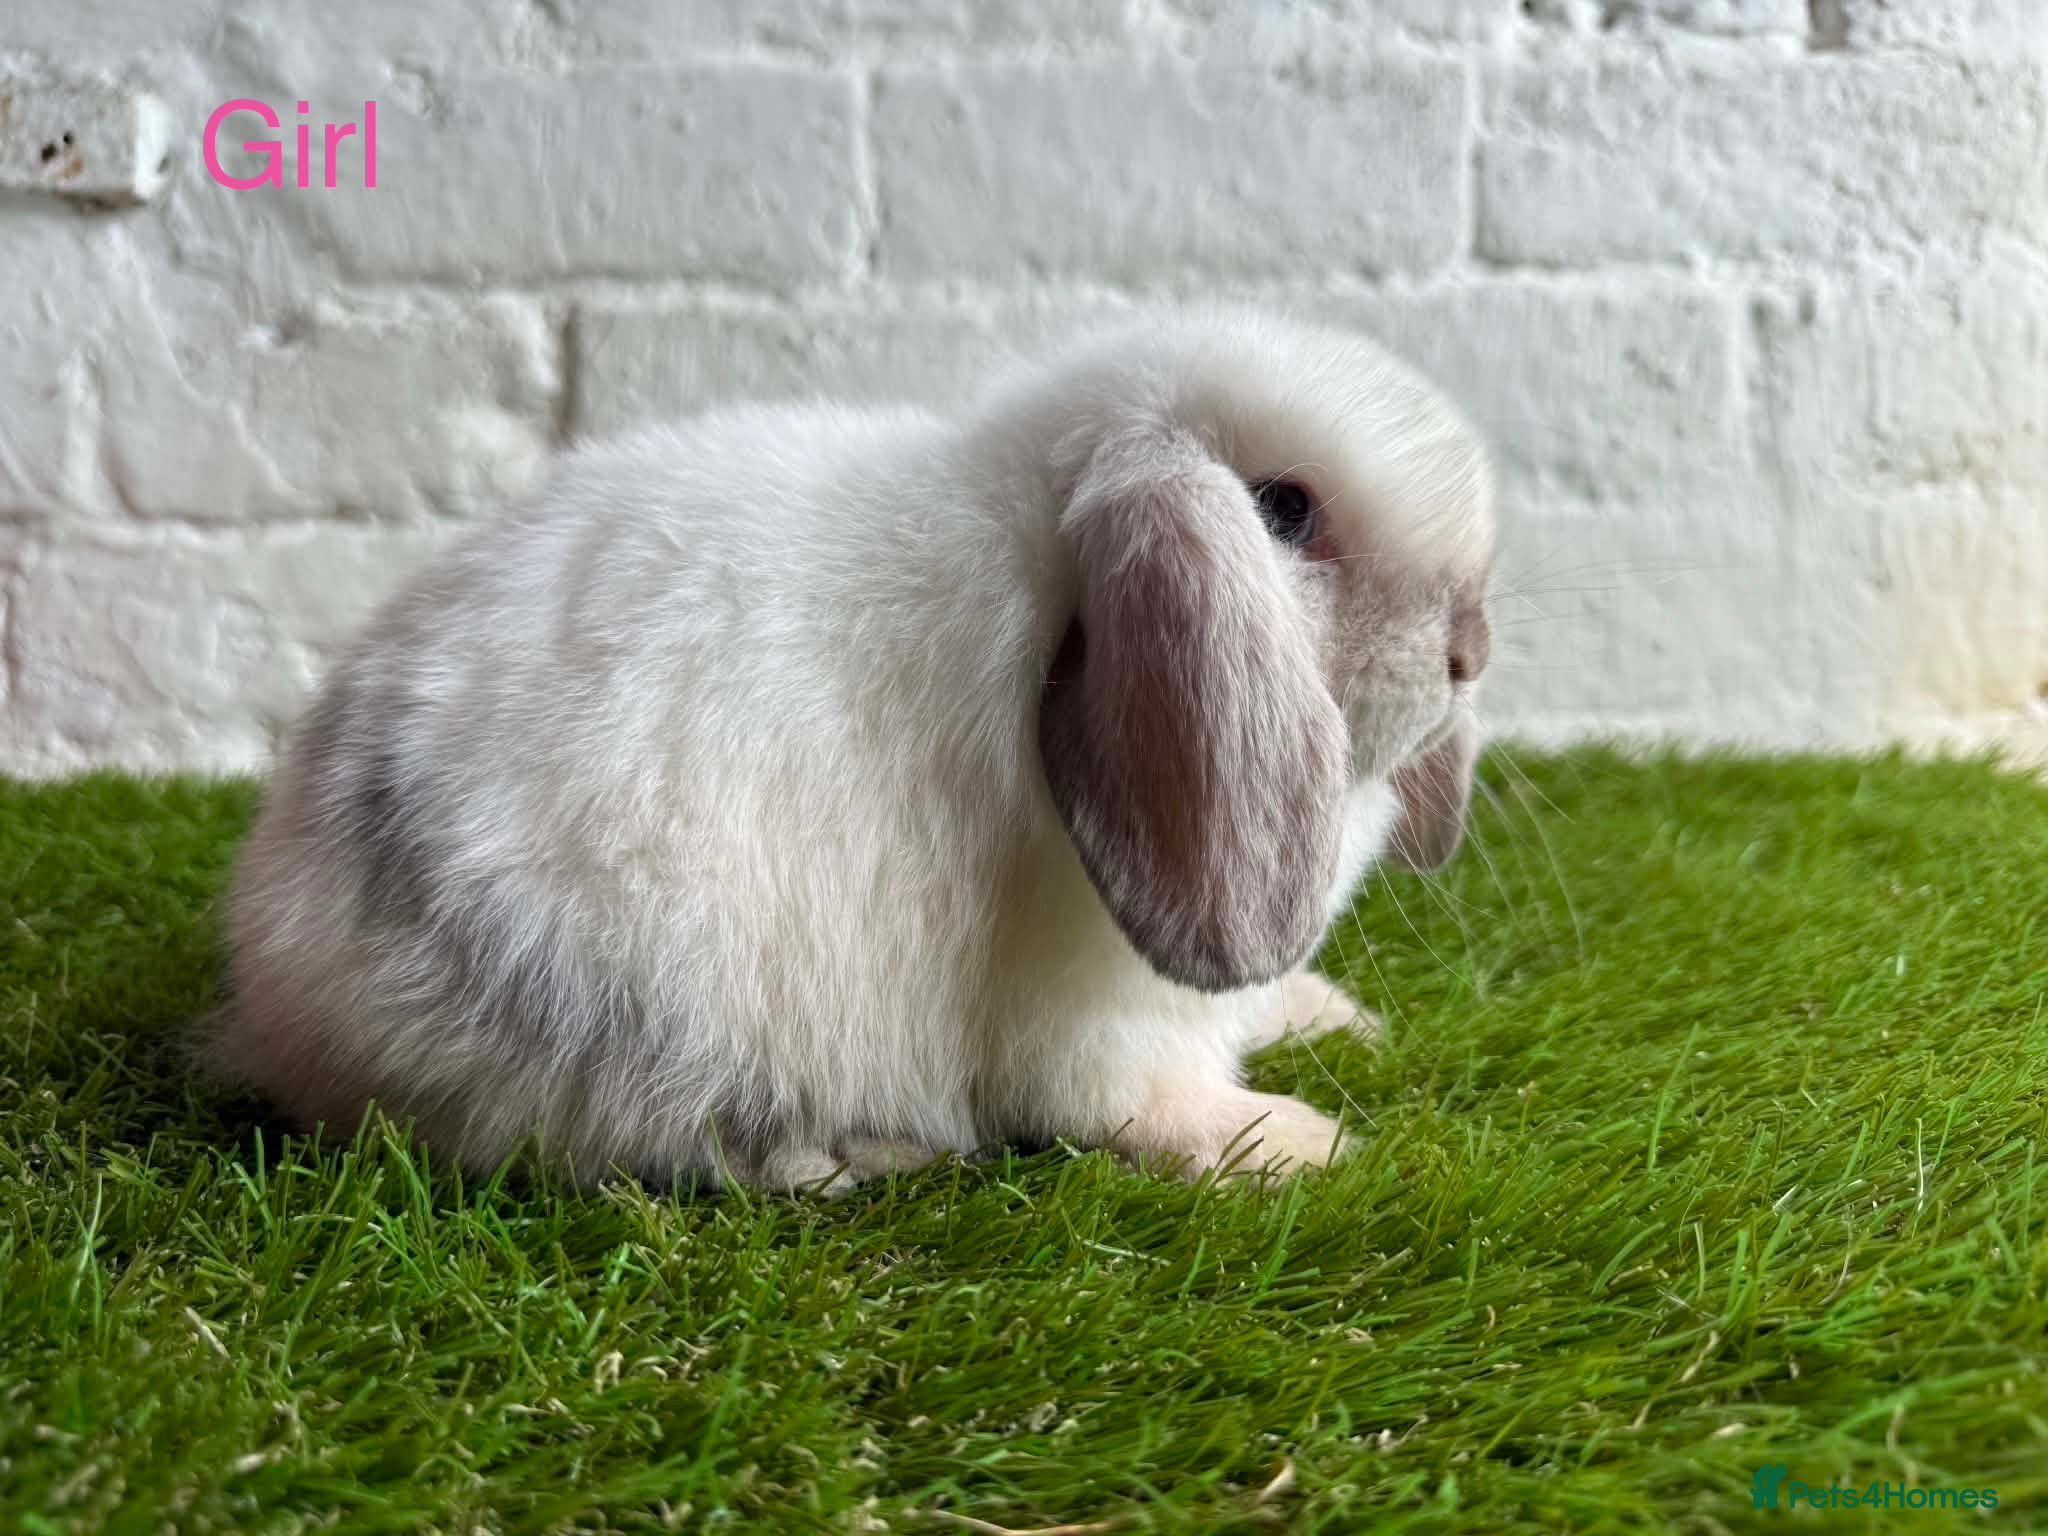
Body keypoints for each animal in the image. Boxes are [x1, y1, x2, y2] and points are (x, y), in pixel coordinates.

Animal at [218, 305, 1494, 1192]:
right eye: (1282, 510)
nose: (1470, 647)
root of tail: (285, 1003)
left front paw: (1332, 1019)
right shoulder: (1103, 1023)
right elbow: (1140, 1107)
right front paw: (1298, 1145)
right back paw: (859, 1156)